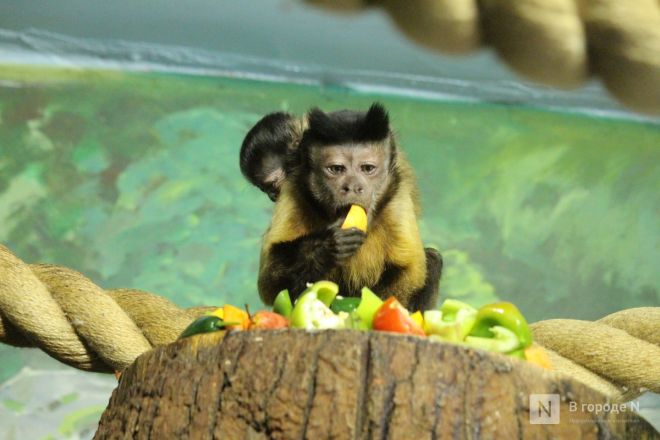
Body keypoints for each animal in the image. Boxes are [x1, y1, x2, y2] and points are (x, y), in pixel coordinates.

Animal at [240, 102, 440, 312]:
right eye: (336, 169)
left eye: (367, 168)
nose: (352, 187)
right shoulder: (294, 188)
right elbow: (269, 284)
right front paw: (325, 246)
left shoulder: (396, 193)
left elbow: (409, 272)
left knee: (433, 259)